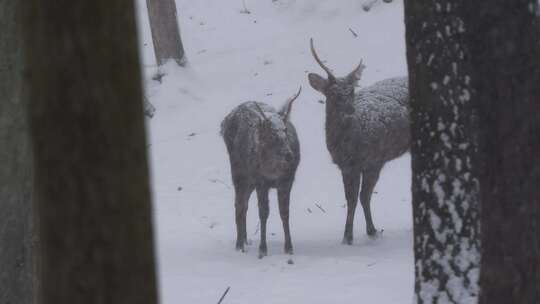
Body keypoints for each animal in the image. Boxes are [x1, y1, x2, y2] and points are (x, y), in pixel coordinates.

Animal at [221, 87, 302, 256]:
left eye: (285, 130)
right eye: (271, 133)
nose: (289, 155)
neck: (273, 170)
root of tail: (223, 122)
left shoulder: (287, 180)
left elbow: (285, 212)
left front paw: (289, 247)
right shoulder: (261, 181)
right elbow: (263, 213)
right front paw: (263, 249)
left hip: (249, 181)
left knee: (244, 204)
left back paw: (245, 239)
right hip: (238, 173)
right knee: (238, 204)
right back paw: (239, 244)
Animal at [308, 39, 410, 245]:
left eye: (352, 91)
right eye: (333, 93)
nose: (350, 110)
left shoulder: (374, 160)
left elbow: (362, 196)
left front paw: (367, 232)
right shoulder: (346, 166)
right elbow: (351, 199)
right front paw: (348, 236)